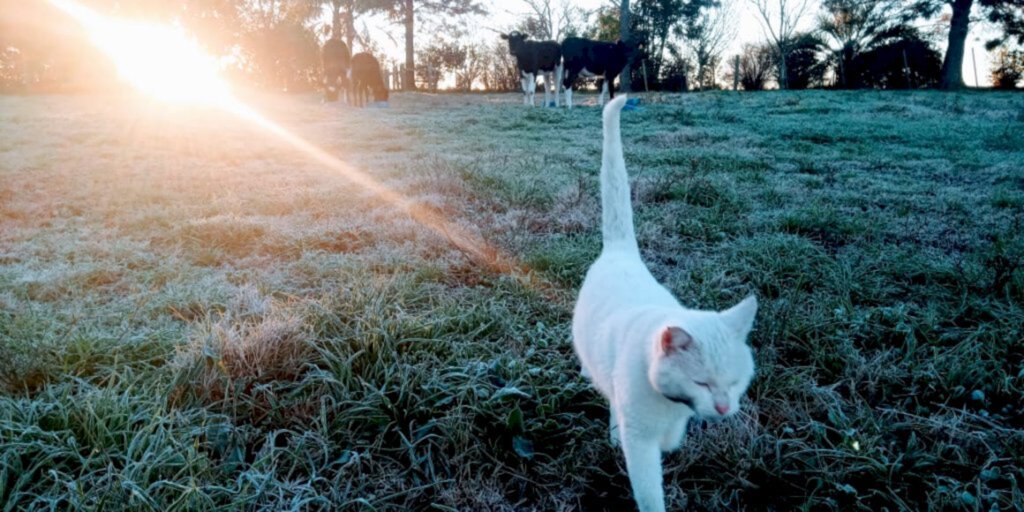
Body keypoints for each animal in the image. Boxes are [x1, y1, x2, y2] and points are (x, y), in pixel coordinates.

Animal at [573, 96, 757, 512]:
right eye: (702, 382)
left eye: (734, 383)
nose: (724, 408)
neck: (673, 405)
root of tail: (621, 250)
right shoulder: (641, 442)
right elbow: (649, 490)